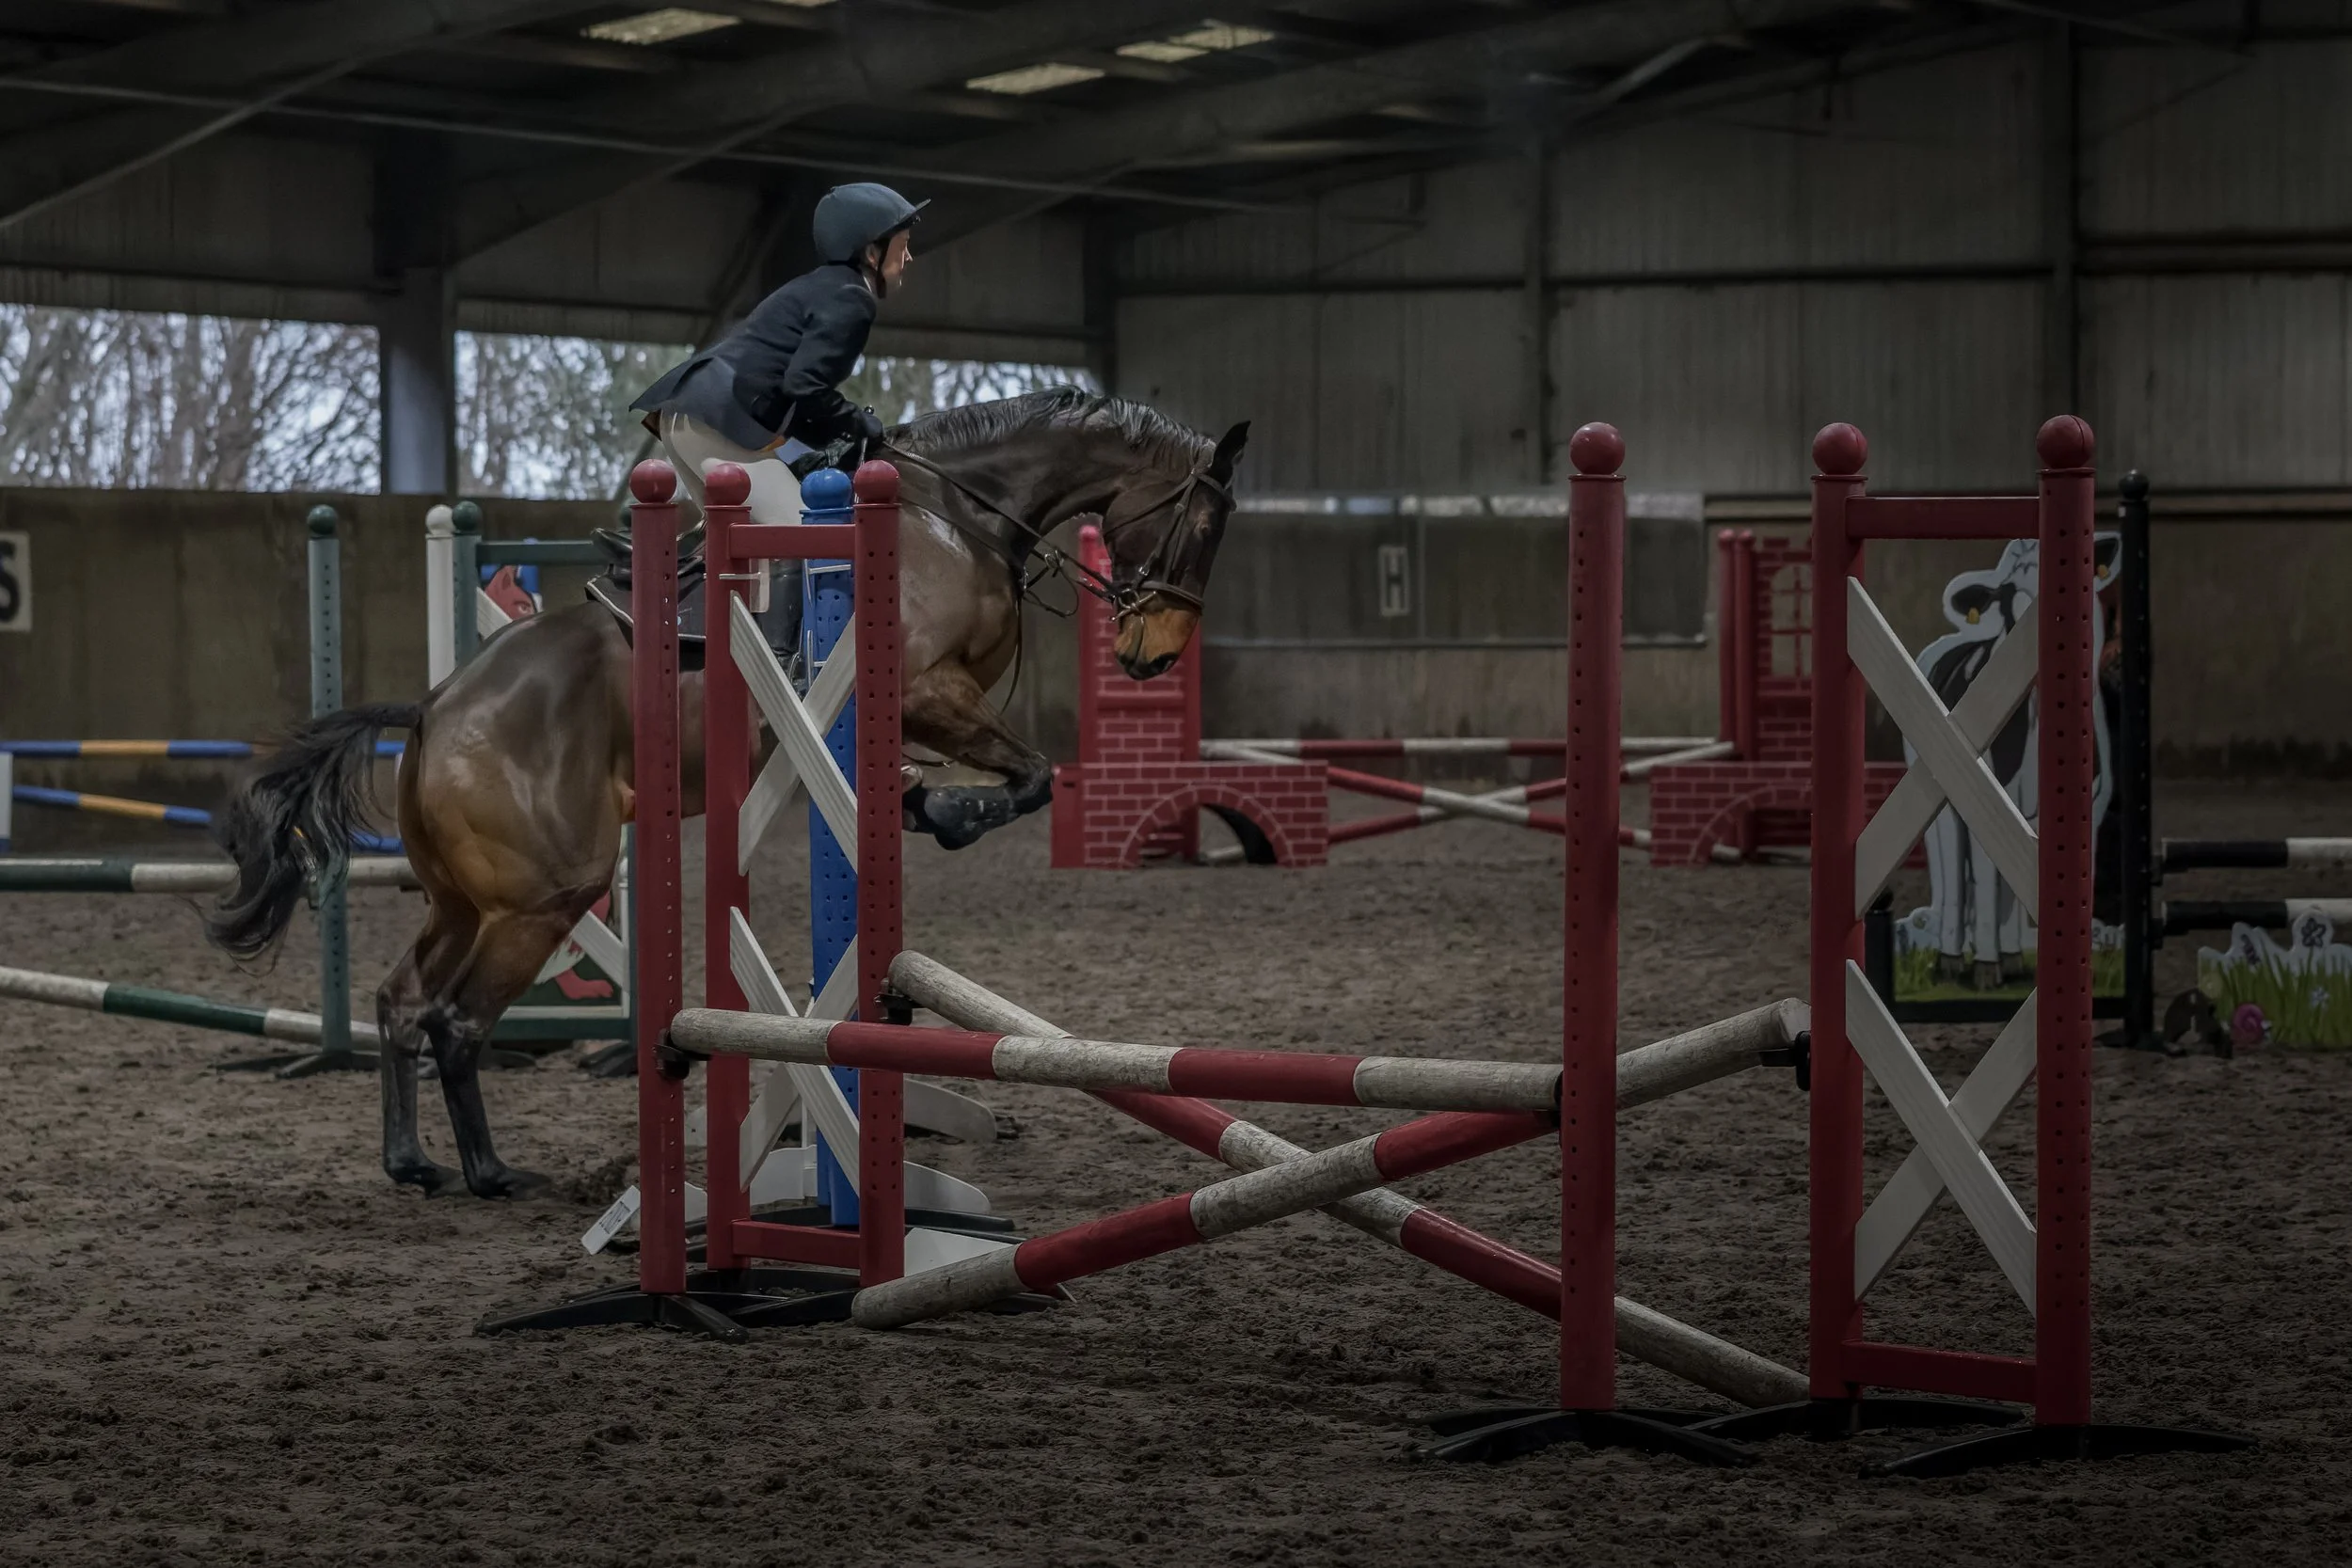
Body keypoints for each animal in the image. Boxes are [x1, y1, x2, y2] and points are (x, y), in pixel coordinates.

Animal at [204, 389, 1248, 1200]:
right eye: (1204, 527)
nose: (1152, 657)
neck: (953, 512)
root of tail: (432, 710)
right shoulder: (923, 689)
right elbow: (1029, 777)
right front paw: (952, 814)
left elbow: (997, 776)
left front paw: (925, 806)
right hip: (543, 897)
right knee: (455, 1023)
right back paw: (493, 1173)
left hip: (466, 900)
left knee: (400, 1001)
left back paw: (412, 1160)